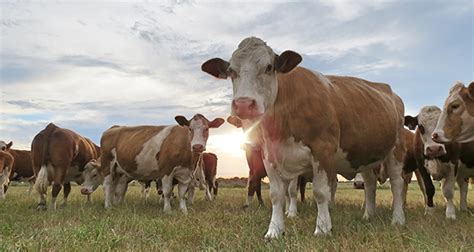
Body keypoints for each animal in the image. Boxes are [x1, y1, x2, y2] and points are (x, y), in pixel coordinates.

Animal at [80, 115, 224, 214]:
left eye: (207, 129)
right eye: (190, 128)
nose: (197, 146)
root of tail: (112, 129)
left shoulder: (186, 173)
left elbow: (182, 193)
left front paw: (183, 210)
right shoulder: (166, 170)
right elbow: (167, 191)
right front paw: (167, 210)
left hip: (116, 169)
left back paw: (111, 204)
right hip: (108, 164)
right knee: (107, 185)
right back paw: (108, 206)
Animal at [202, 36, 406, 237]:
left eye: (269, 67)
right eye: (231, 71)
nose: (244, 104)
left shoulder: (323, 150)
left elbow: (320, 193)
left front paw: (322, 228)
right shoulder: (269, 155)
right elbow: (277, 195)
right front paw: (274, 231)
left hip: (396, 151)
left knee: (397, 183)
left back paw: (398, 219)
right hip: (365, 155)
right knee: (370, 184)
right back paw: (368, 215)